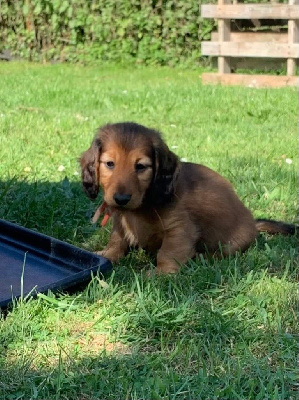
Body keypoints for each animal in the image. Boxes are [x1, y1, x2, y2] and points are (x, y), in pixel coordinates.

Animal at [81, 120, 298, 274]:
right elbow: (117, 241)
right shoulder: (120, 222)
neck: (142, 206)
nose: (121, 199)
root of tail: (253, 223)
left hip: (233, 242)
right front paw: (106, 255)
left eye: (141, 166)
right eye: (110, 164)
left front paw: (160, 274)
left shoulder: (180, 229)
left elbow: (168, 253)